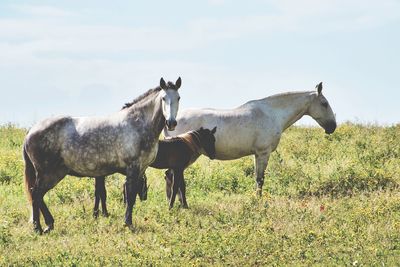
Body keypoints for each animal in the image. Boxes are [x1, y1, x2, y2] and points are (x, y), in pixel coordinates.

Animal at [23, 76, 183, 233]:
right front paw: (128, 224)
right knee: (36, 194)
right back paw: (40, 227)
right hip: (49, 174)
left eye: (178, 97)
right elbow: (130, 196)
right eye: (163, 98)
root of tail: (31, 132)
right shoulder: (133, 168)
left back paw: (45, 225)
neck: (137, 125)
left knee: (37, 195)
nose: (171, 123)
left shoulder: (140, 169)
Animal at [164, 82, 336, 197]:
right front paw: (258, 200)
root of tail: (171, 121)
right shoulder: (263, 153)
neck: (272, 114)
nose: (332, 127)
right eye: (324, 103)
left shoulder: (257, 154)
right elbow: (260, 179)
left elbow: (257, 178)